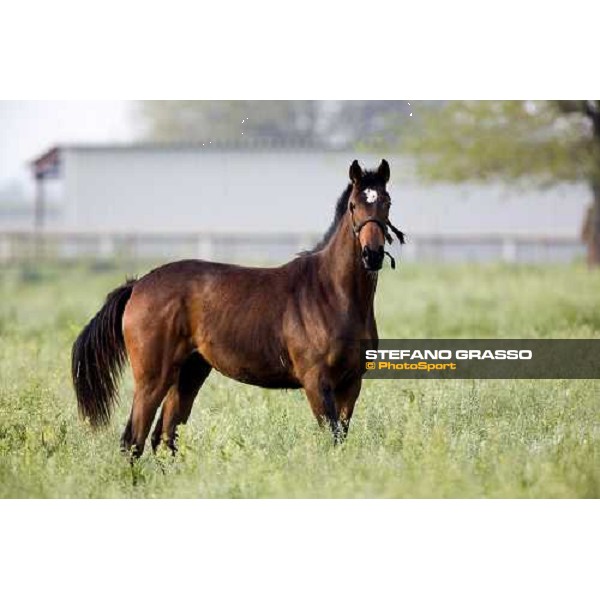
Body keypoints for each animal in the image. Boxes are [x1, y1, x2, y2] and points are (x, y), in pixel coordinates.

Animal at [72, 159, 406, 454]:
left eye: (387, 202)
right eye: (353, 205)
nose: (372, 255)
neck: (331, 294)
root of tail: (137, 285)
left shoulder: (351, 383)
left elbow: (341, 437)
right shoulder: (316, 382)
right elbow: (332, 437)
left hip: (189, 373)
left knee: (163, 437)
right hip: (152, 378)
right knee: (134, 440)